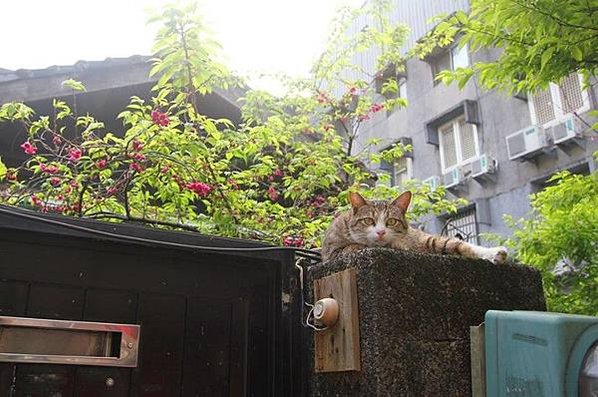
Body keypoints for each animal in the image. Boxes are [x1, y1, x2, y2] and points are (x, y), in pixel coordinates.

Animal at [324, 191, 510, 264]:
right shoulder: (331, 253)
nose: (381, 232)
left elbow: (457, 244)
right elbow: (351, 246)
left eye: (391, 221)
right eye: (368, 220)